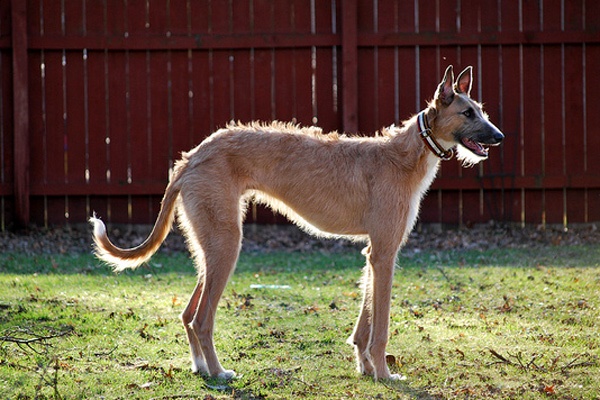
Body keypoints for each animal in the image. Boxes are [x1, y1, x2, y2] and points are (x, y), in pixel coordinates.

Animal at [90, 65, 502, 382]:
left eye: (481, 109)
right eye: (468, 113)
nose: (499, 136)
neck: (404, 154)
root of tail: (190, 158)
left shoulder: (374, 253)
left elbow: (364, 322)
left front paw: (366, 368)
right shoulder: (385, 254)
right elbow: (381, 328)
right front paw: (385, 374)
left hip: (210, 247)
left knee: (189, 314)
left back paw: (202, 368)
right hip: (227, 246)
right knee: (203, 319)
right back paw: (220, 372)